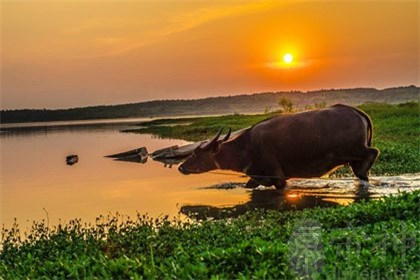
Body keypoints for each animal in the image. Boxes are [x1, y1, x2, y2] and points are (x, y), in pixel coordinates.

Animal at [178, 104, 380, 189]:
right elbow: (249, 186)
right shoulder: (257, 176)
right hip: (352, 156)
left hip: (354, 149)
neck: (246, 148)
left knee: (373, 152)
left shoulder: (278, 178)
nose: (181, 167)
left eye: (196, 154)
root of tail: (356, 111)